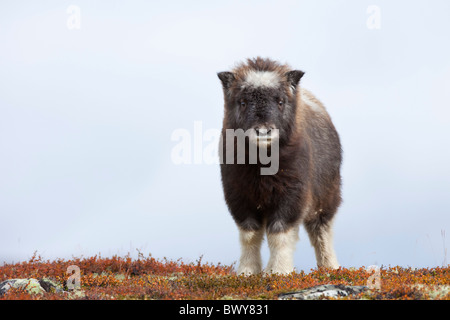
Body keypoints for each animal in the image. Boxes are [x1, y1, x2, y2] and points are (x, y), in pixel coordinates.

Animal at [218, 56, 342, 274]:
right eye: (242, 102)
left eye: (280, 101)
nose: (263, 132)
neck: (261, 164)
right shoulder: (239, 197)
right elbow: (249, 235)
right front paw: (247, 272)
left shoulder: (291, 196)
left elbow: (280, 233)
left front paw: (278, 271)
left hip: (326, 198)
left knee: (321, 231)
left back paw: (330, 268)